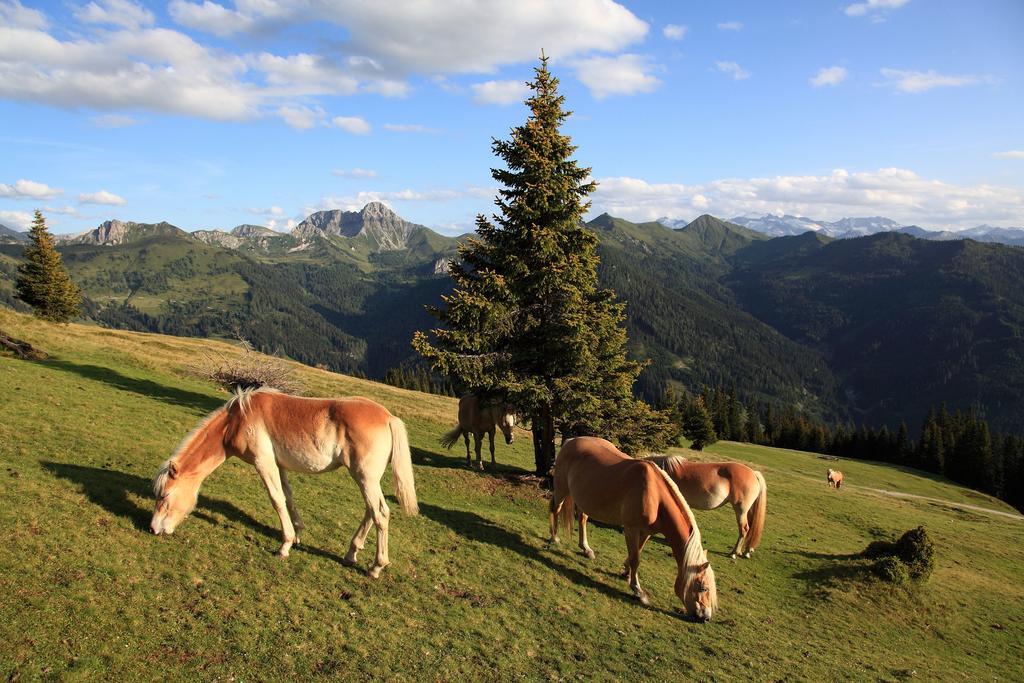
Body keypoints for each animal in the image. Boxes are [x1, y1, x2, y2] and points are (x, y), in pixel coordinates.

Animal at [147, 389, 415, 577]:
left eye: (164, 496)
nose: (153, 529)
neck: (237, 420)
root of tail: (389, 417)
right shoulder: (280, 465)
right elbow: (288, 497)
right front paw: (297, 535)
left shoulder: (263, 462)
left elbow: (276, 499)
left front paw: (285, 546)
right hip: (367, 479)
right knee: (370, 511)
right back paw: (351, 553)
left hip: (364, 477)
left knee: (380, 513)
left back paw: (376, 567)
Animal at [548, 438, 716, 618]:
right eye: (703, 588)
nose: (705, 617)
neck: (655, 496)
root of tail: (570, 441)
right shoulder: (631, 529)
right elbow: (636, 558)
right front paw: (638, 591)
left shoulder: (647, 532)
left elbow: (637, 553)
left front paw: (626, 573)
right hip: (561, 488)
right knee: (555, 509)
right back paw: (554, 538)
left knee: (583, 518)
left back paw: (586, 549)